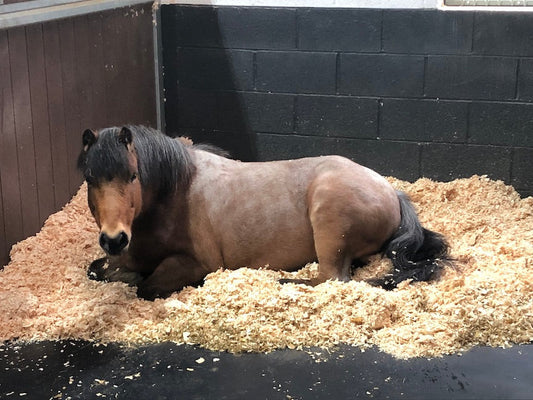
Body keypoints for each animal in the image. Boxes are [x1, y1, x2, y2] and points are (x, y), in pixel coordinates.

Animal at [76, 126, 448, 300]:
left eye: (132, 176)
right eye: (90, 178)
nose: (114, 239)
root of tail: (390, 190)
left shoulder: (193, 263)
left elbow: (146, 286)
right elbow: (98, 270)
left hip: (330, 225)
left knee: (331, 278)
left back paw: (283, 281)